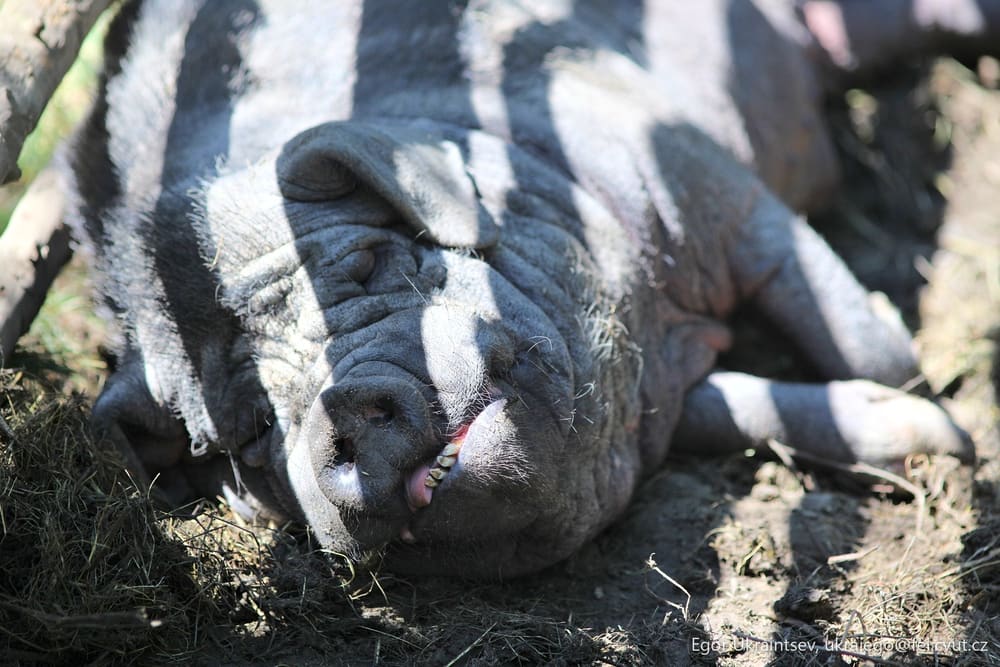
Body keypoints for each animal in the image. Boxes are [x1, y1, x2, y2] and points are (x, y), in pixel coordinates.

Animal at [63, 0, 989, 578]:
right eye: (252, 434)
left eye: (367, 263)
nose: (338, 411)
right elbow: (736, 405)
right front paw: (932, 440)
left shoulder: (697, 169)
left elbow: (860, 337)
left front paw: (952, 434)